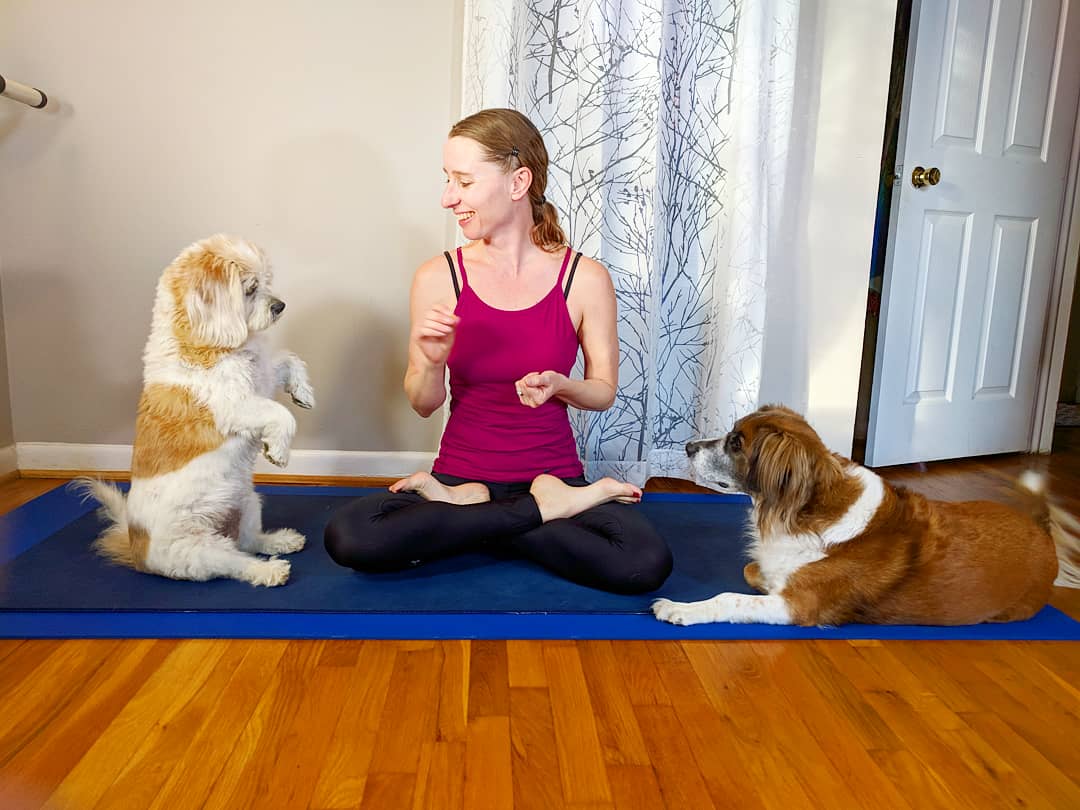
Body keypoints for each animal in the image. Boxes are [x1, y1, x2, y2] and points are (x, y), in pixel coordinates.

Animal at [72, 236, 313, 591]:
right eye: (251, 288)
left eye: (266, 282)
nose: (279, 305)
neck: (203, 341)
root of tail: (136, 549)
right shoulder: (236, 405)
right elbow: (281, 414)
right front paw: (278, 452)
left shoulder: (263, 380)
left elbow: (288, 360)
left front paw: (303, 392)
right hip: (199, 550)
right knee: (237, 562)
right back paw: (268, 571)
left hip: (247, 502)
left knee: (249, 541)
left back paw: (280, 540)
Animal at [648, 406, 1080, 626]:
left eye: (737, 444)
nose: (687, 447)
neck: (804, 509)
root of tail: (1041, 534)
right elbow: (753, 570)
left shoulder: (798, 605)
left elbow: (730, 598)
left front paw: (680, 608)